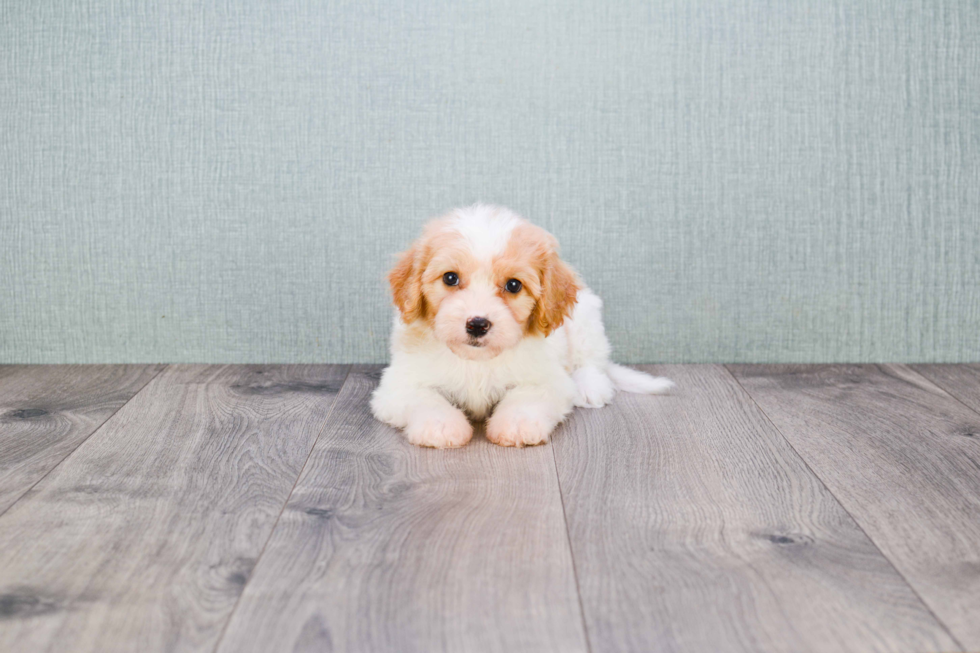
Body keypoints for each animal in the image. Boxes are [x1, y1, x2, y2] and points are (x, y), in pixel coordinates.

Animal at [370, 205, 672, 448]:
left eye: (513, 285)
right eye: (450, 278)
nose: (477, 324)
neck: (477, 361)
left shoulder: (547, 378)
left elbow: (526, 397)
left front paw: (516, 425)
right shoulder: (399, 383)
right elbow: (425, 398)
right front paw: (441, 425)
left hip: (586, 319)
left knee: (591, 361)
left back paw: (589, 386)